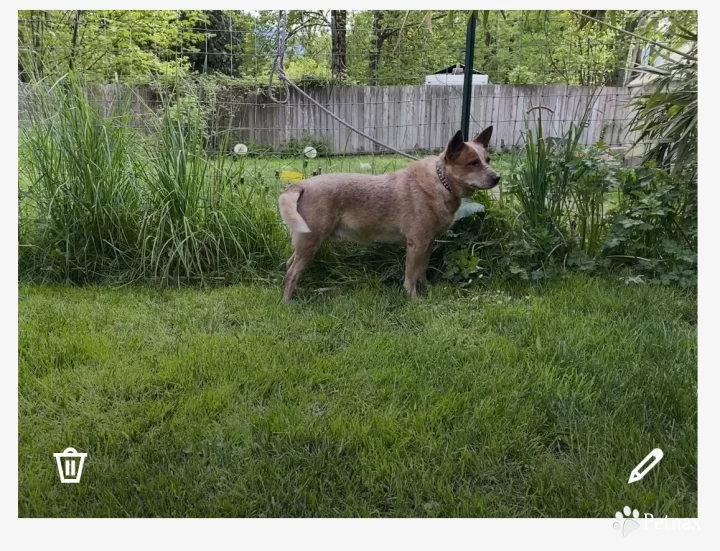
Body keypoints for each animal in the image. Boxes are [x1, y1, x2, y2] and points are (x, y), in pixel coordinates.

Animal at [278, 128, 498, 302]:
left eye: (487, 160)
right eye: (473, 163)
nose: (497, 177)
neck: (440, 182)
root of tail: (303, 184)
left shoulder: (429, 242)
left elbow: (422, 270)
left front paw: (427, 289)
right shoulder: (416, 243)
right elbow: (411, 276)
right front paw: (413, 299)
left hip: (305, 243)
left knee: (290, 265)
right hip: (311, 242)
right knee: (291, 272)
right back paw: (288, 302)